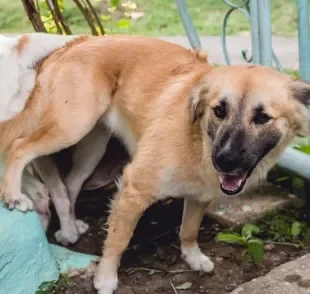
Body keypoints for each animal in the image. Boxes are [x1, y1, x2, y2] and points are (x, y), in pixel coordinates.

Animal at [0, 35, 308, 292]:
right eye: (219, 111)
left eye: (262, 117)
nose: (224, 161)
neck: (198, 141)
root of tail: (74, 42)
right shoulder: (133, 189)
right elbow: (118, 240)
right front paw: (105, 278)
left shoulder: (200, 196)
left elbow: (189, 230)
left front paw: (193, 257)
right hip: (71, 126)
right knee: (19, 147)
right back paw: (13, 194)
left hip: (92, 145)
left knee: (70, 185)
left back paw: (70, 228)